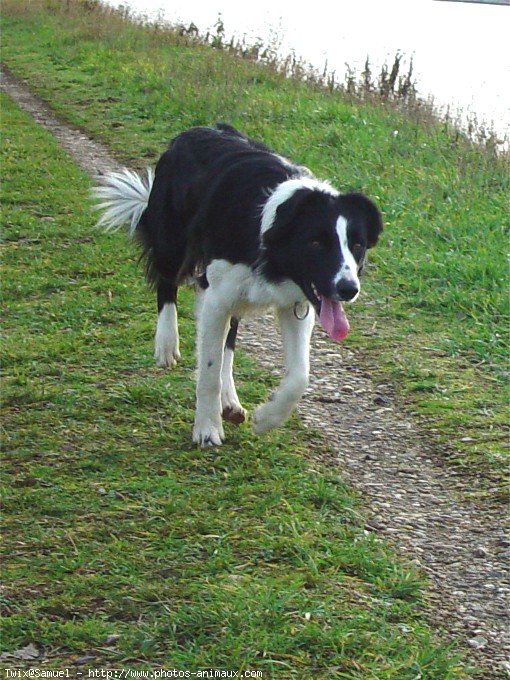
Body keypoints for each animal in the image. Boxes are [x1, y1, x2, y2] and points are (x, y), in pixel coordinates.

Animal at [92, 123, 382, 446]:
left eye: (357, 246)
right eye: (317, 243)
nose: (348, 289)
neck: (268, 233)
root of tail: (194, 131)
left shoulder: (296, 303)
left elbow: (299, 376)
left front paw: (266, 418)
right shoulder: (217, 296)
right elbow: (208, 369)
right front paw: (207, 429)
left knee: (228, 340)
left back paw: (230, 400)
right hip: (172, 241)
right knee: (166, 282)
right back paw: (167, 344)